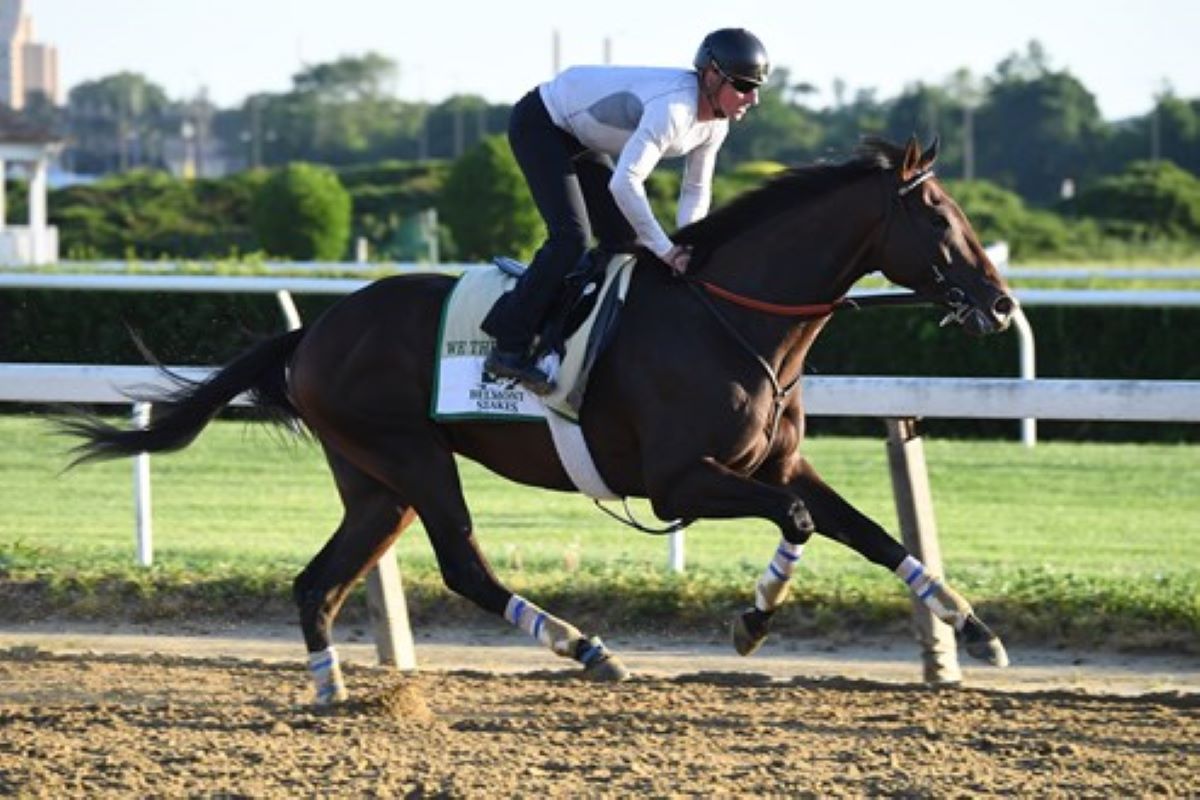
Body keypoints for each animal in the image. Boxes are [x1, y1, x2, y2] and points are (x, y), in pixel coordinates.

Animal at [60, 136, 1017, 700]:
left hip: (375, 482)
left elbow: (870, 532)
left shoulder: (773, 463)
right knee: (463, 567)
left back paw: (333, 689)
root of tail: (313, 331)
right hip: (412, 458)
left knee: (317, 581)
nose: (1002, 305)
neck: (730, 318)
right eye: (941, 217)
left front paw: (972, 625)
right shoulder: (681, 482)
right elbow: (802, 522)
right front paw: (753, 619)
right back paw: (583, 646)